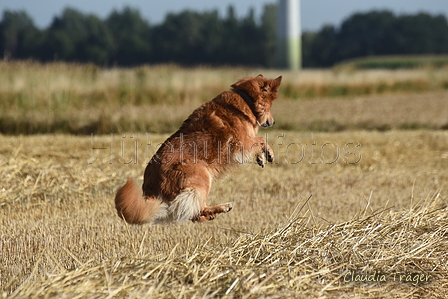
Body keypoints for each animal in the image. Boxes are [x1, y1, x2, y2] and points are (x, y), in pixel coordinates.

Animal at [114, 74, 282, 225]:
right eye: (270, 106)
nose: (273, 122)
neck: (245, 100)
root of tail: (151, 191)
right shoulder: (241, 143)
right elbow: (261, 140)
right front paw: (269, 153)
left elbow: (259, 142)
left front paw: (261, 157)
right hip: (202, 175)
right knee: (196, 207)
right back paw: (221, 207)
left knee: (191, 213)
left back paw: (210, 214)